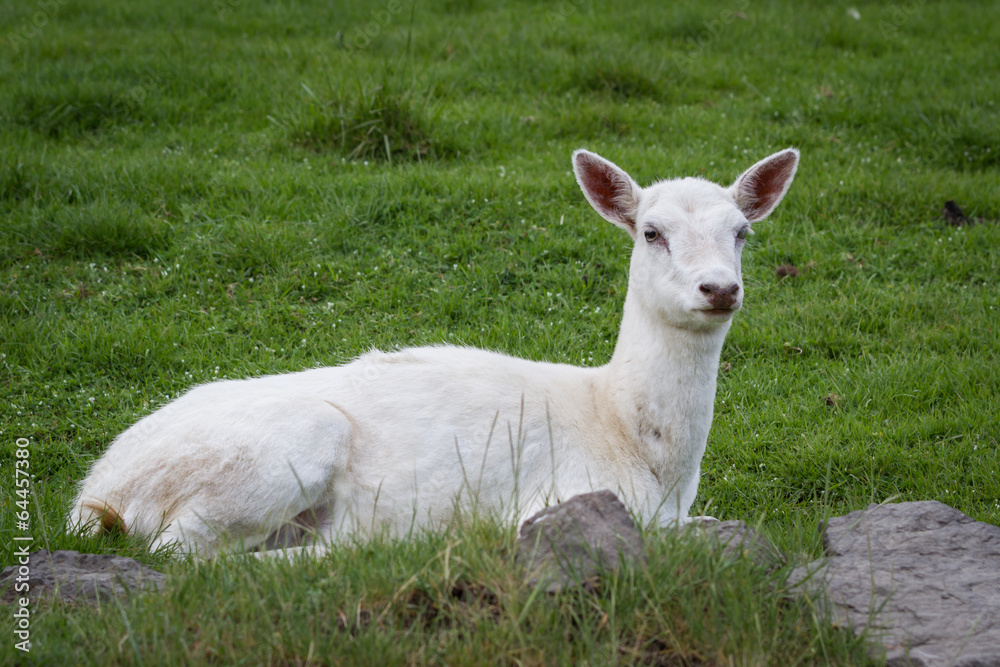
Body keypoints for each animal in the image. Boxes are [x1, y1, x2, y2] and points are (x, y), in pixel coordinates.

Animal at [69, 147, 799, 558]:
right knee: (183, 555)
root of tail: (93, 495)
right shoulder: (555, 501)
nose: (719, 288)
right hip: (274, 456)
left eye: (742, 231)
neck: (643, 451)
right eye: (651, 231)